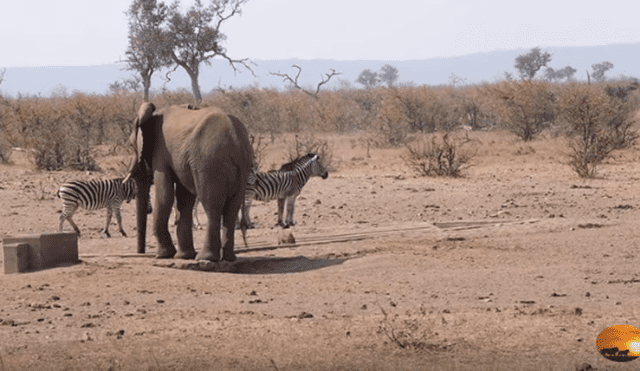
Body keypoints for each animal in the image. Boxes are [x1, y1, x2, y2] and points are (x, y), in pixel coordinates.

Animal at [124, 102, 254, 262]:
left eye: (131, 146)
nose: (141, 252)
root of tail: (235, 139)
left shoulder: (160, 153)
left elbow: (165, 195)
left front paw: (163, 255)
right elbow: (184, 199)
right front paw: (183, 256)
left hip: (208, 163)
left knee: (211, 206)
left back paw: (205, 258)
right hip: (242, 165)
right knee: (232, 209)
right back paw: (228, 258)